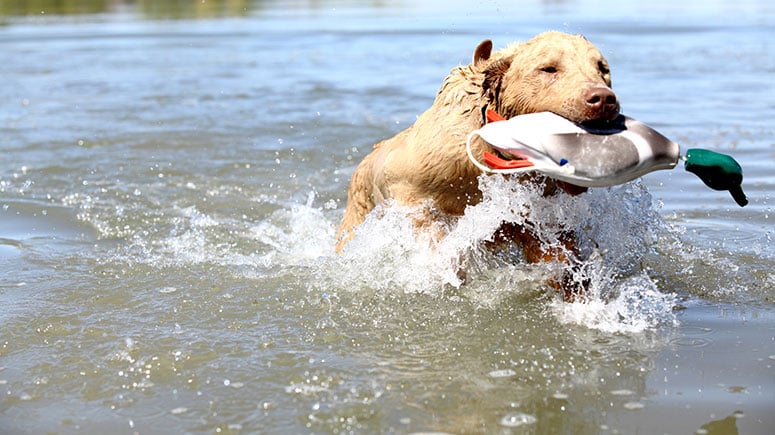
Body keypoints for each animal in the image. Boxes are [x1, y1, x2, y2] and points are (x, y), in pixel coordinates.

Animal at [336, 31, 620, 300]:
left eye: (602, 68)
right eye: (548, 68)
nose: (603, 99)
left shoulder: (538, 212)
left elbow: (557, 254)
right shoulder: (414, 187)